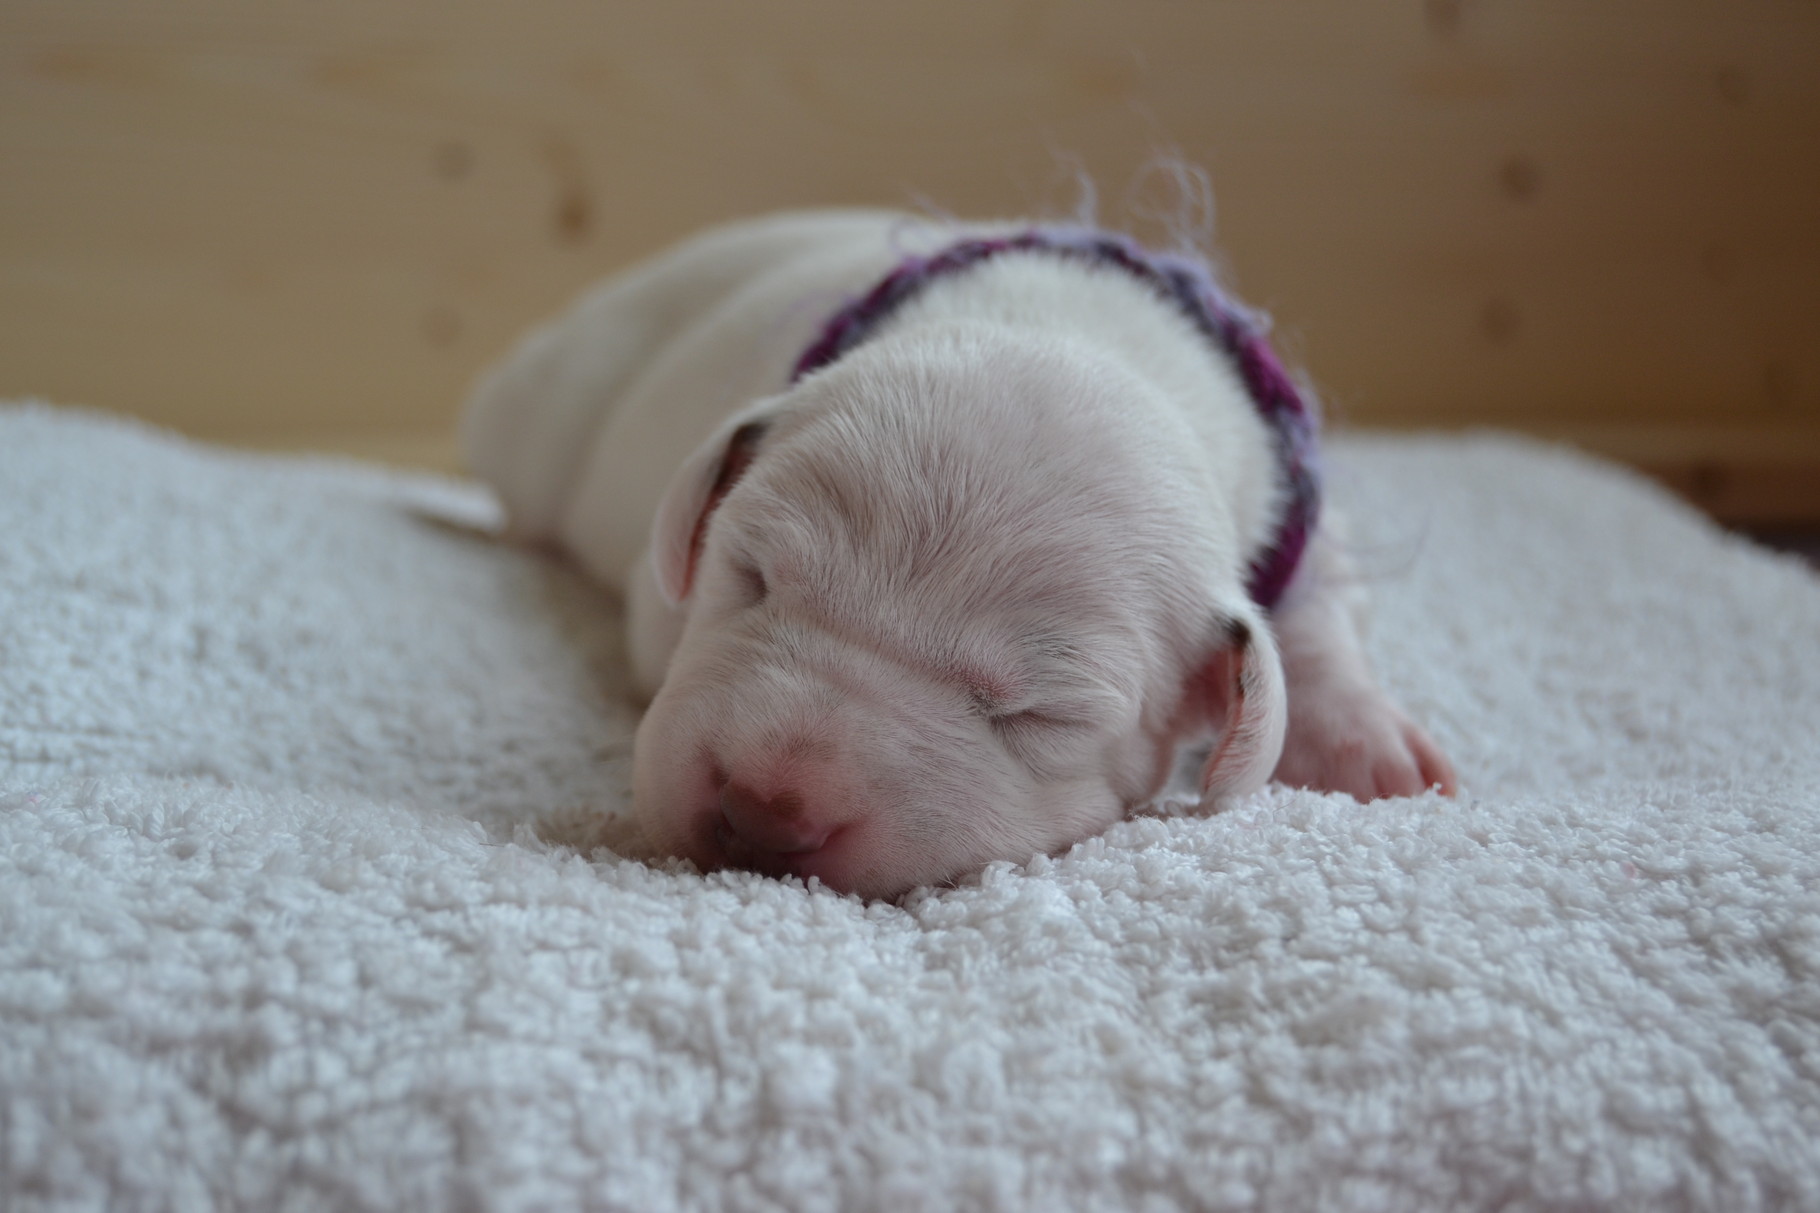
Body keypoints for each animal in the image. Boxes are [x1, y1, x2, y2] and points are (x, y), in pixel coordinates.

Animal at [462, 207, 1456, 892]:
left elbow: (1318, 620)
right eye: (751, 577)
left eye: (1040, 713)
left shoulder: (1306, 528)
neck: (1081, 332)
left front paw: (1370, 748)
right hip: (542, 424)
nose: (764, 809)